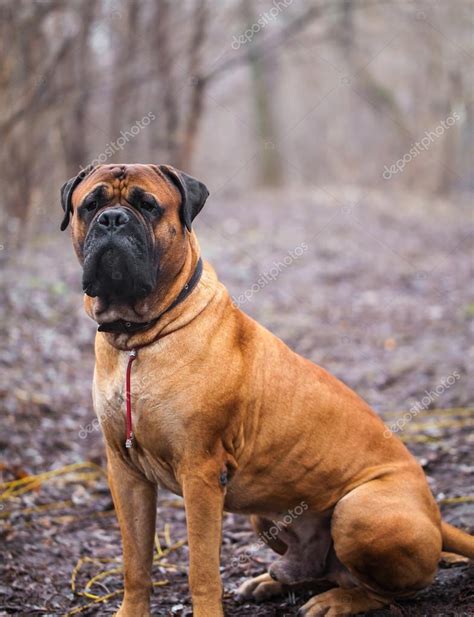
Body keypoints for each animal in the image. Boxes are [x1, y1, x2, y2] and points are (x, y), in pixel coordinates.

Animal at [61, 164, 472, 616]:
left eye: (148, 206)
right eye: (91, 205)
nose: (113, 220)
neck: (139, 337)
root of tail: (436, 517)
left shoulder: (201, 474)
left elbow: (201, 569)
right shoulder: (126, 471)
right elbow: (135, 562)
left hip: (359, 509)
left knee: (392, 591)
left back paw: (337, 601)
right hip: (269, 514)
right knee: (319, 566)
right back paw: (272, 581)